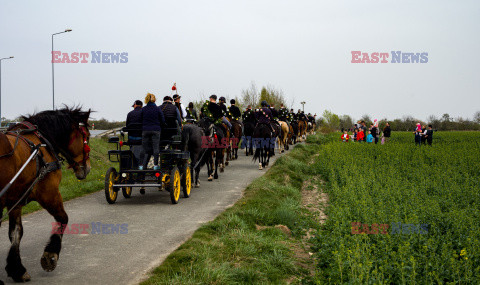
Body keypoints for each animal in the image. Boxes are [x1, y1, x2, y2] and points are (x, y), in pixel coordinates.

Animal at [0, 106, 91, 282]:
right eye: (88, 137)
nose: (88, 168)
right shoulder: (49, 193)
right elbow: (63, 219)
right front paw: (50, 255)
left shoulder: (15, 201)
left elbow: (16, 233)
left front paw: (16, 268)